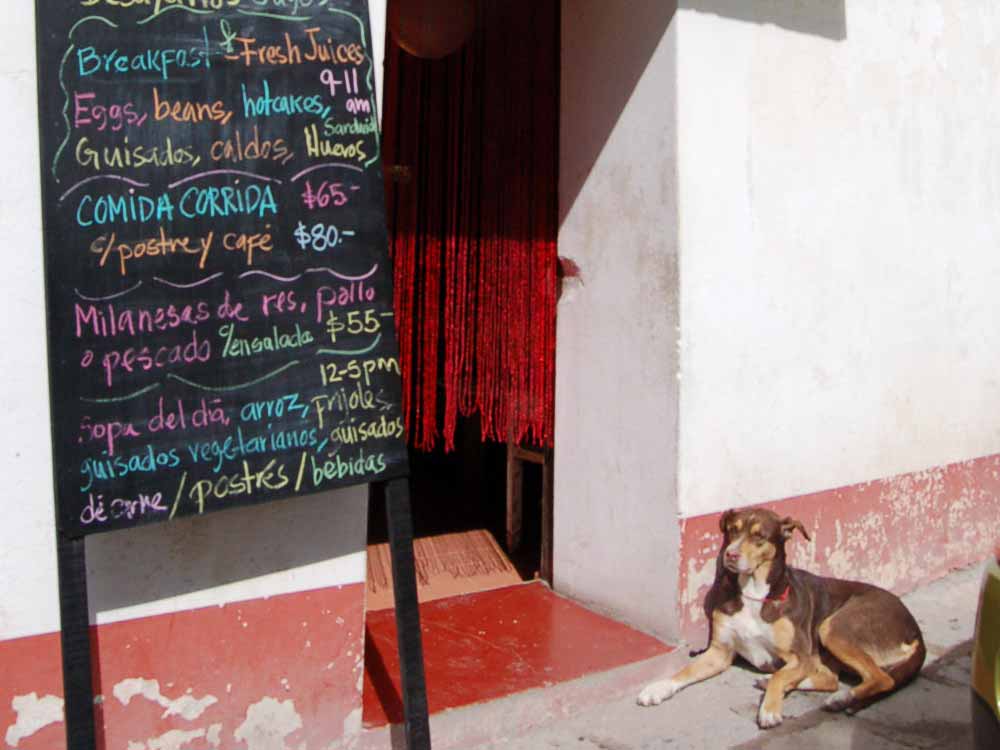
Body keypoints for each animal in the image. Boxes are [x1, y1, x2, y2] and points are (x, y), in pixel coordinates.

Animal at [636, 508, 924, 732]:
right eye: (732, 530)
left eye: (759, 536)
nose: (730, 554)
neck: (753, 594)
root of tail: (914, 629)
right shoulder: (719, 652)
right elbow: (683, 672)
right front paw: (658, 688)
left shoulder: (800, 656)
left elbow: (780, 677)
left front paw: (770, 710)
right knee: (830, 678)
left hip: (832, 627)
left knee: (882, 679)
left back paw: (842, 697)